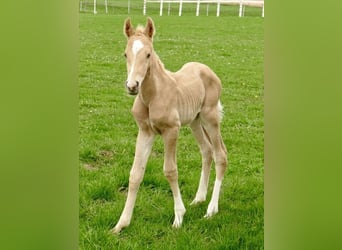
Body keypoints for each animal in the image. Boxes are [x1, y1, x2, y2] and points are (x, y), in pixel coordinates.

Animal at [112, 18, 228, 234]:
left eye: (148, 54)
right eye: (125, 54)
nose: (132, 86)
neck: (153, 95)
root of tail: (209, 70)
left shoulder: (171, 130)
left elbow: (170, 171)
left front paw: (179, 217)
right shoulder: (145, 132)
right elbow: (135, 174)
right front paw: (121, 224)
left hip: (210, 118)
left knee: (220, 155)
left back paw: (211, 209)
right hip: (195, 121)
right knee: (207, 151)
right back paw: (199, 198)